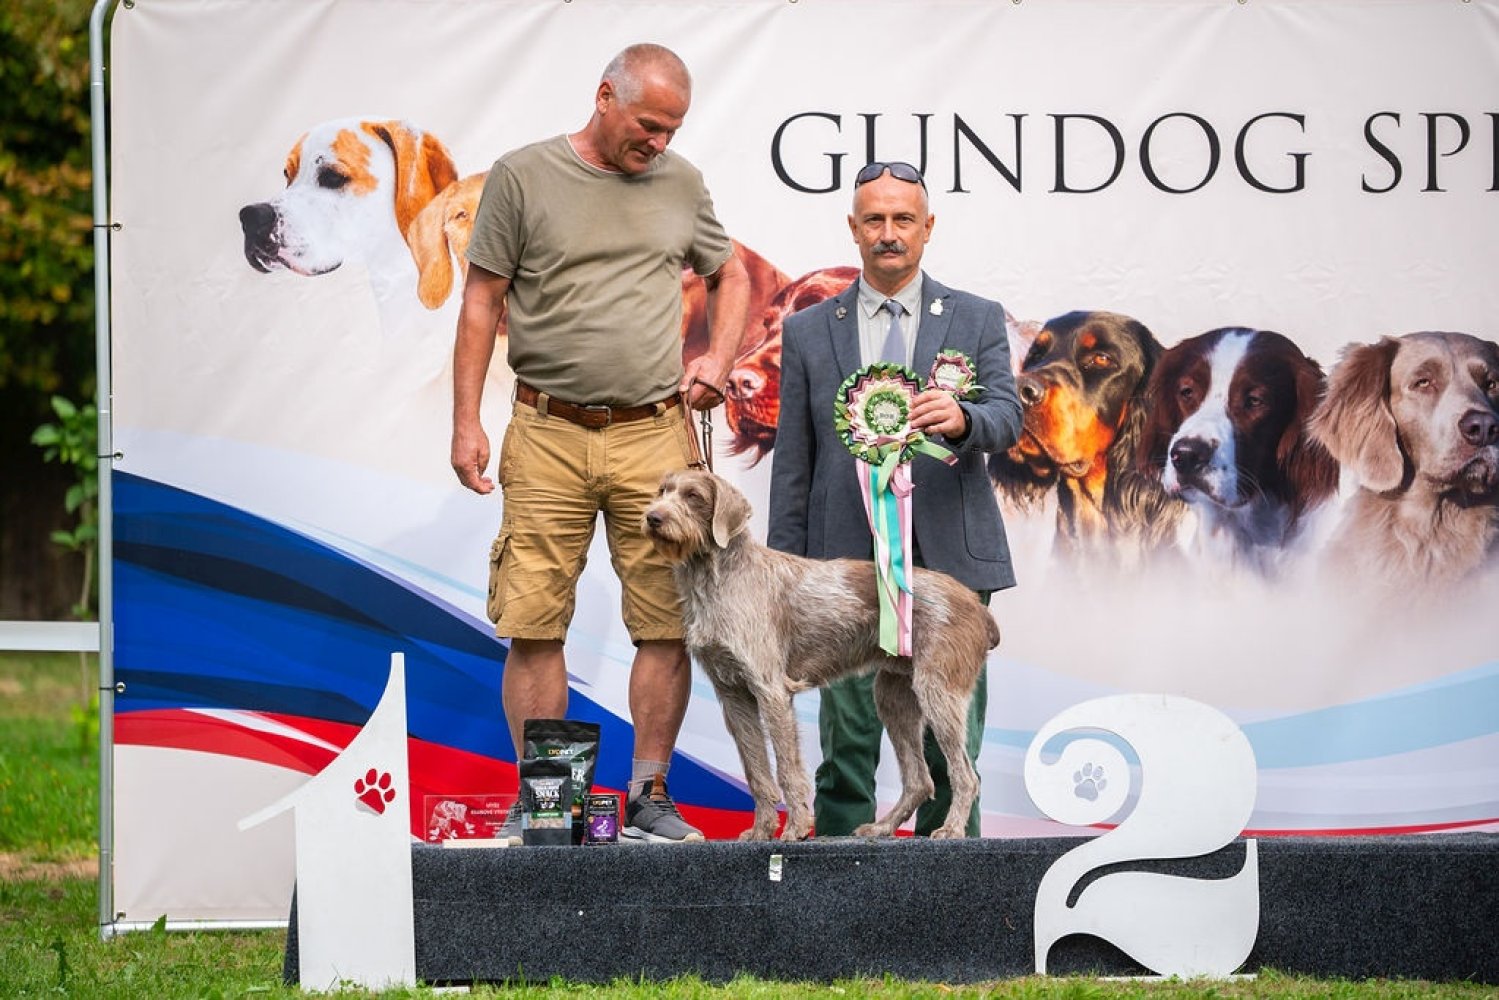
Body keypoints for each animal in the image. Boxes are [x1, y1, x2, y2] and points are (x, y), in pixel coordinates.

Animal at [642, 469, 1000, 841]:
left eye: (694, 496)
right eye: (663, 491)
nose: (653, 517)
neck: (717, 578)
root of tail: (975, 604)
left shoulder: (771, 690)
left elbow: (787, 769)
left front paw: (796, 827)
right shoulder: (734, 696)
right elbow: (757, 771)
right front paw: (761, 830)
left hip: (938, 693)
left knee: (965, 776)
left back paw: (951, 829)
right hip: (893, 698)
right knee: (920, 780)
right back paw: (882, 827)